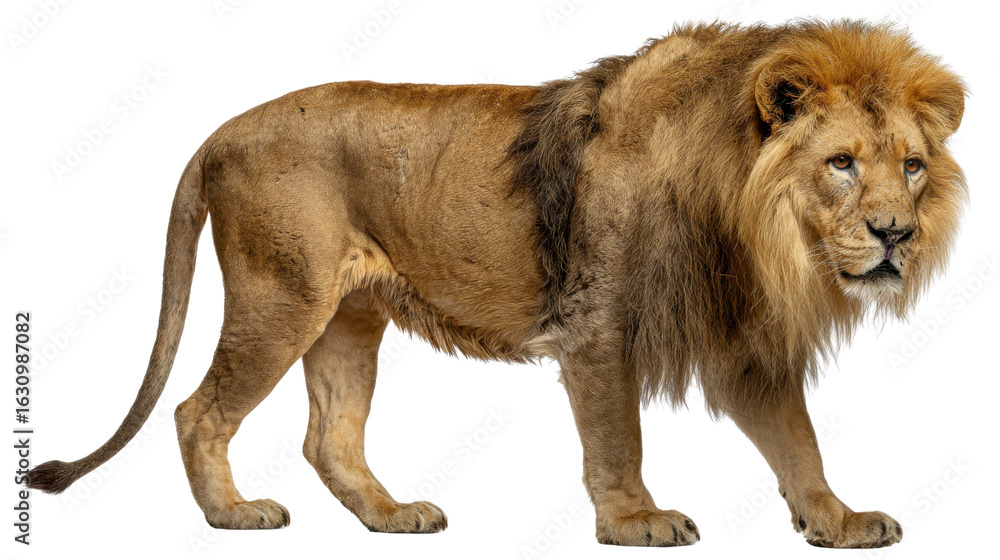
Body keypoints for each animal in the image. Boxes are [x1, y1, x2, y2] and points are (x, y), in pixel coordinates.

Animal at [28, 20, 965, 548]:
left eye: (913, 167)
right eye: (841, 164)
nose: (897, 235)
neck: (747, 223)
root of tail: (219, 131)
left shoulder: (738, 339)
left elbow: (798, 441)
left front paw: (837, 522)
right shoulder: (596, 324)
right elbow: (618, 438)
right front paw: (635, 523)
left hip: (348, 315)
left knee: (330, 435)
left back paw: (391, 516)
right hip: (280, 296)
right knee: (197, 411)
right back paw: (232, 514)